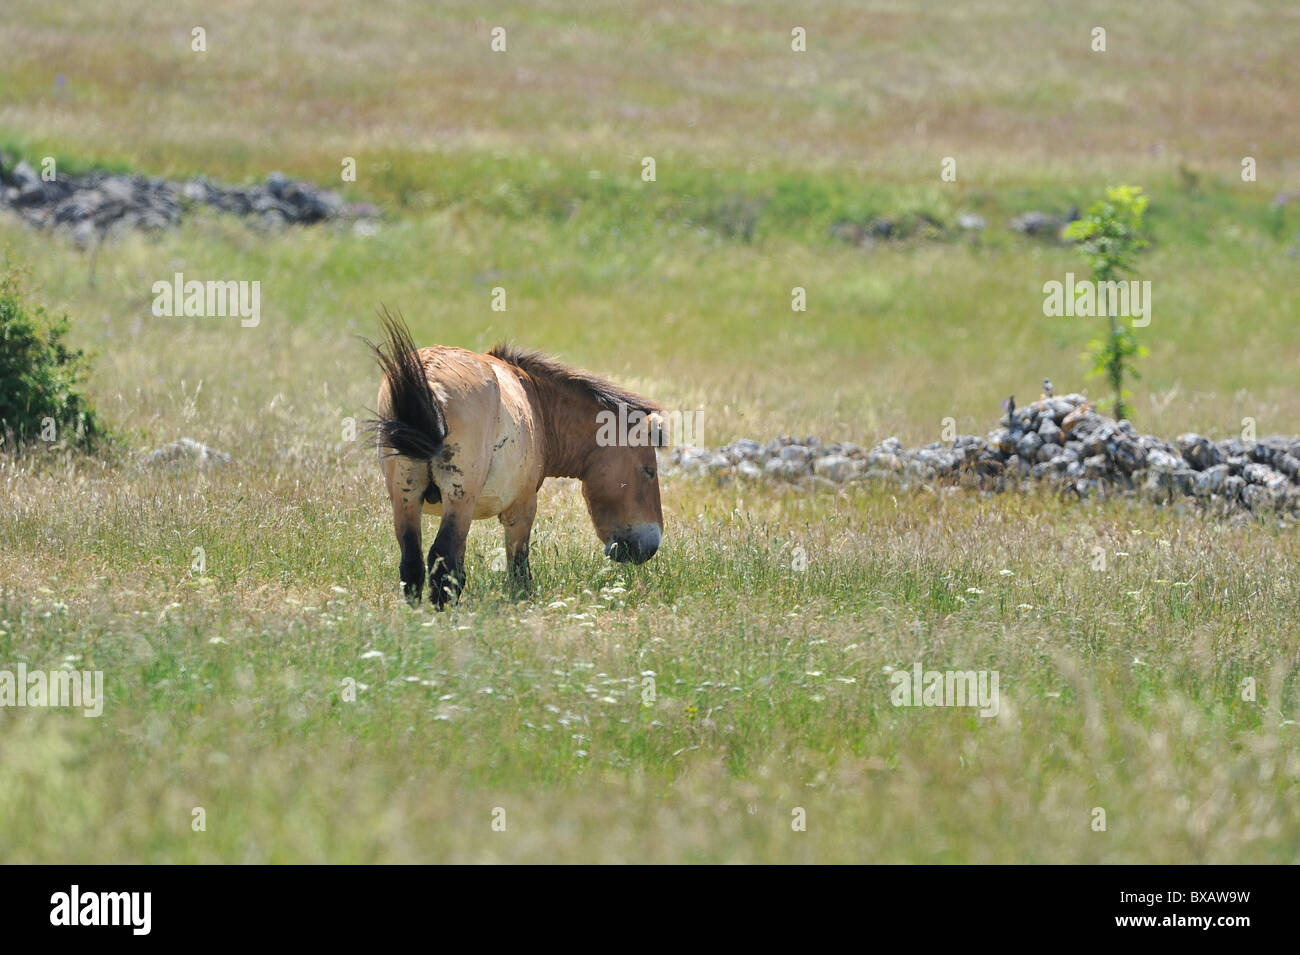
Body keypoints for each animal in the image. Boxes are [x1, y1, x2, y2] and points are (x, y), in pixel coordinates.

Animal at [369, 315, 665, 613]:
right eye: (649, 471)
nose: (651, 545)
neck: (536, 401)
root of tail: (428, 376)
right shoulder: (521, 509)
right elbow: (519, 571)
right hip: (459, 498)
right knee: (442, 561)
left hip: (406, 498)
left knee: (413, 566)